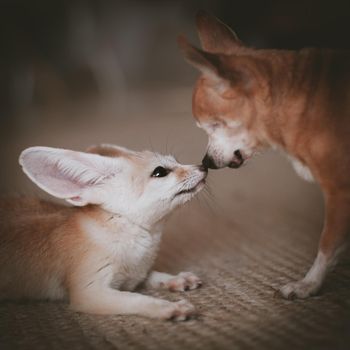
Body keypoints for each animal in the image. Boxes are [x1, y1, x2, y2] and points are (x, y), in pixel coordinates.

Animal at [0, 144, 208, 320]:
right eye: (160, 172)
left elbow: (152, 275)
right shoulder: (90, 292)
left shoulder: (136, 275)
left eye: (176, 161)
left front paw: (176, 279)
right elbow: (135, 299)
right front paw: (169, 307)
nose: (204, 166)